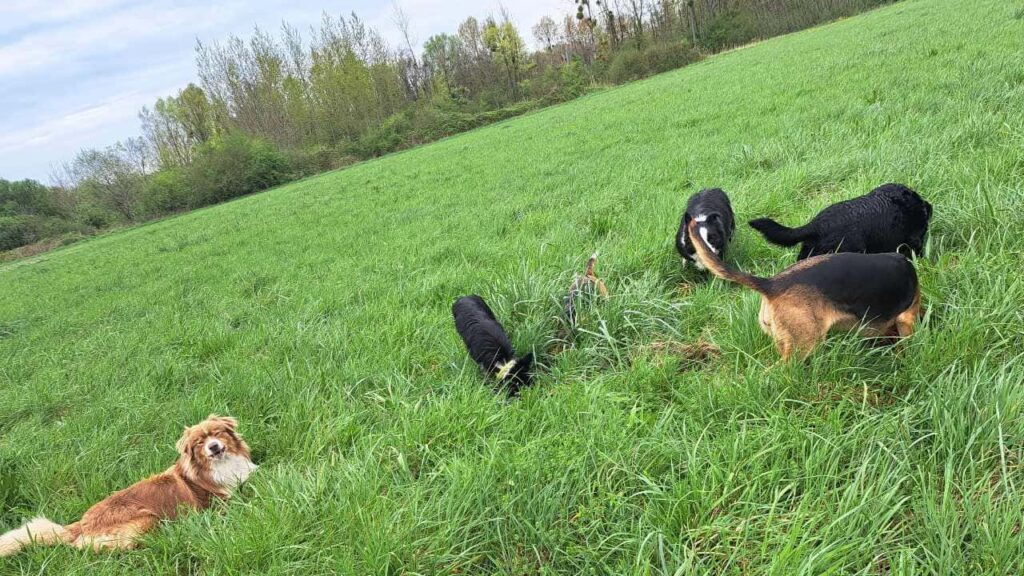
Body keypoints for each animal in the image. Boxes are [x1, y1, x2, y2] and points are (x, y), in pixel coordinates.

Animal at [0, 414, 256, 553]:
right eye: (200, 443)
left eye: (217, 433)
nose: (213, 447)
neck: (221, 464)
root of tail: (80, 524)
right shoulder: (219, 504)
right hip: (146, 519)